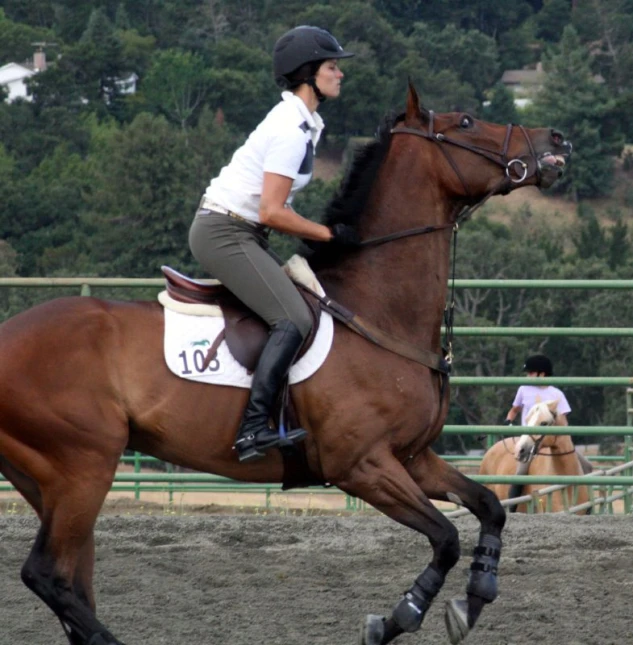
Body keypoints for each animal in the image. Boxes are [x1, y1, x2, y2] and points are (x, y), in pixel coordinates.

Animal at [0, 84, 572, 644]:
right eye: (467, 122)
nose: (556, 139)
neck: (377, 309)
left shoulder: (411, 458)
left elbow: (489, 507)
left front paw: (475, 596)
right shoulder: (363, 466)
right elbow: (446, 536)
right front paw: (398, 618)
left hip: (50, 479)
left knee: (71, 576)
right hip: (83, 467)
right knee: (48, 574)